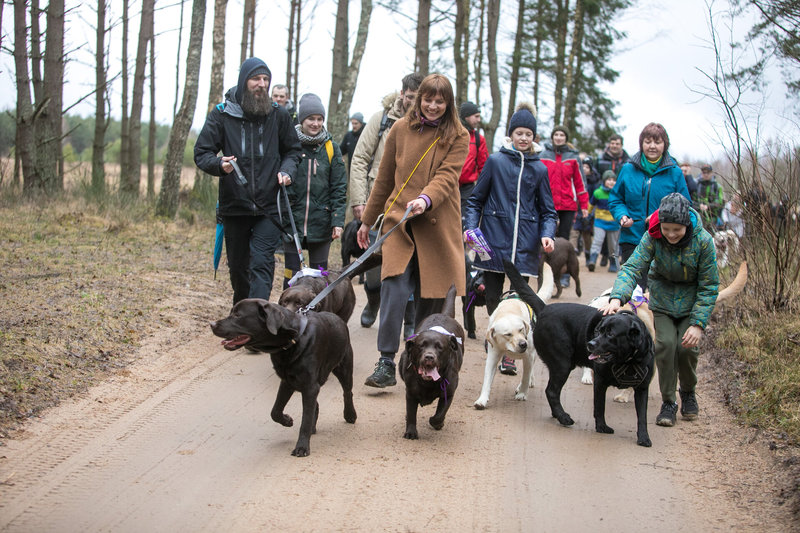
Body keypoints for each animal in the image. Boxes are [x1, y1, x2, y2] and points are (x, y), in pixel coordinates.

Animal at [209, 300, 356, 458]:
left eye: (237, 315)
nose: (211, 324)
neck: (293, 341)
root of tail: (339, 319)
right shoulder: (287, 382)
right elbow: (275, 411)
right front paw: (287, 420)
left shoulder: (310, 386)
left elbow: (305, 420)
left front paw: (302, 447)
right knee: (316, 405)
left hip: (344, 367)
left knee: (347, 392)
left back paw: (350, 415)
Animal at [398, 284, 462, 438]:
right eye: (422, 345)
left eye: (440, 347)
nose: (429, 356)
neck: (428, 382)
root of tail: (444, 314)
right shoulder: (410, 394)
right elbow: (411, 413)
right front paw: (411, 432)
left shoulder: (448, 393)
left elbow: (439, 415)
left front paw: (438, 423)